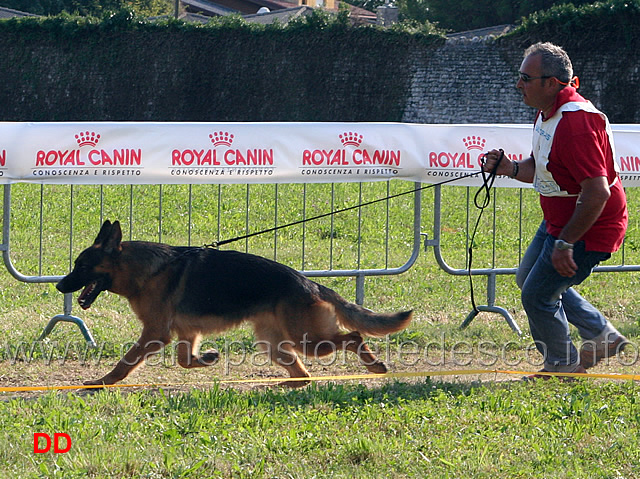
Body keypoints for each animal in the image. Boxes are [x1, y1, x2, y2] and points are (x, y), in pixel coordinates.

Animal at [57, 223, 412, 388]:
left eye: (81, 266)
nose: (60, 285)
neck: (145, 270)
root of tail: (309, 282)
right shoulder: (186, 334)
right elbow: (186, 360)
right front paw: (208, 358)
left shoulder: (155, 333)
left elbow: (126, 362)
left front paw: (102, 382)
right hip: (276, 344)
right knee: (305, 374)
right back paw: (288, 383)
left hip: (308, 340)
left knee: (353, 336)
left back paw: (374, 365)